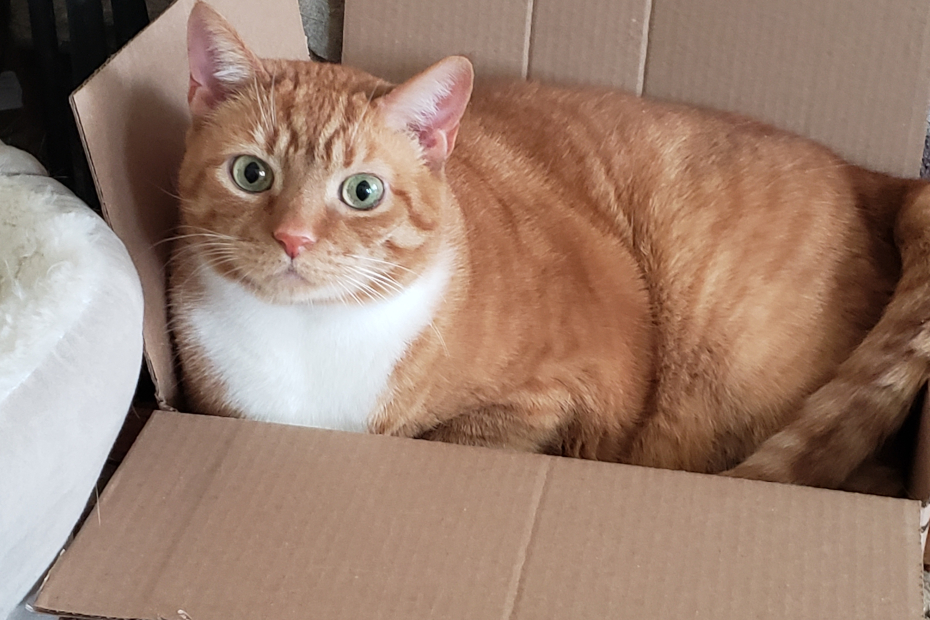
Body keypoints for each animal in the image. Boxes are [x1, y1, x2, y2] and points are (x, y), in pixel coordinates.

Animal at [170, 2, 928, 492]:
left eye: (362, 192)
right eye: (251, 174)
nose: (292, 237)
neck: (310, 338)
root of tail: (877, 177)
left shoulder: (561, 393)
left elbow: (462, 435)